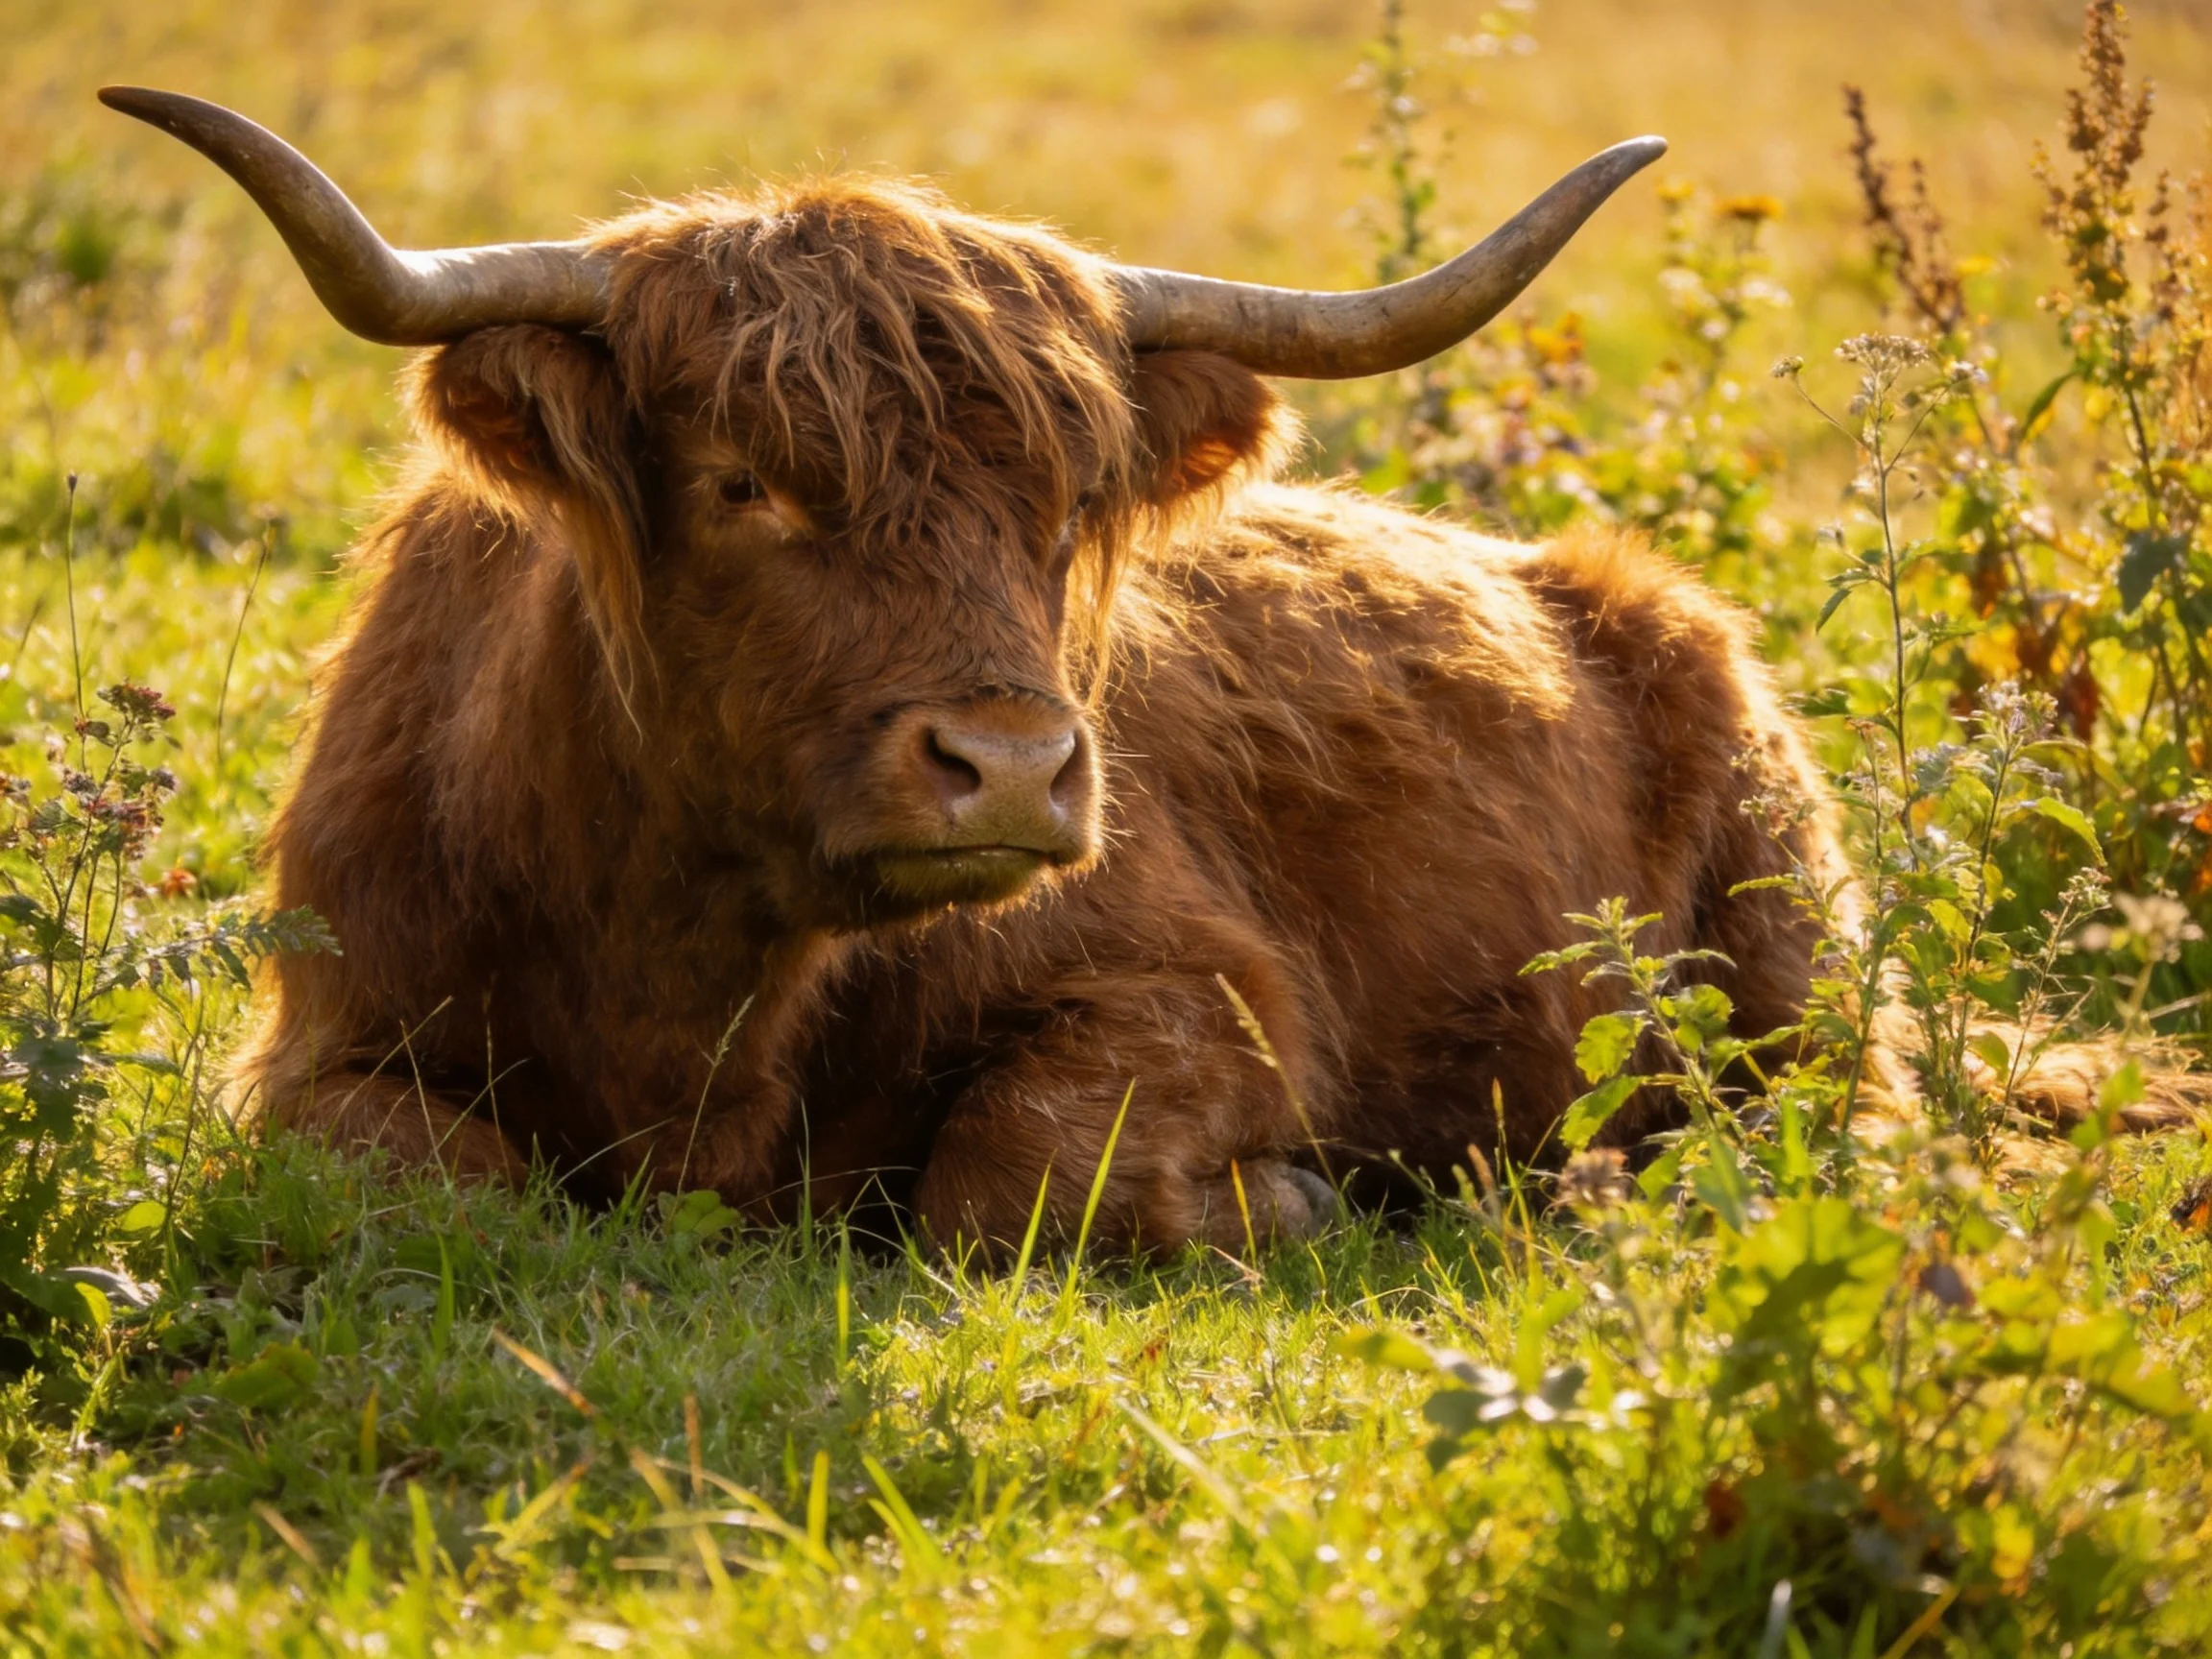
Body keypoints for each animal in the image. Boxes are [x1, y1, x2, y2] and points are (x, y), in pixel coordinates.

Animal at [100, 88, 2187, 1256]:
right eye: (745, 480)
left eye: (1062, 501)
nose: (1013, 767)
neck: (691, 976)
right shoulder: (324, 1037)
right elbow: (407, 1177)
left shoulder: (1210, 988)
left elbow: (1007, 1180)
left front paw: (1292, 1203)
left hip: (1793, 968)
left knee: (1829, 1137)